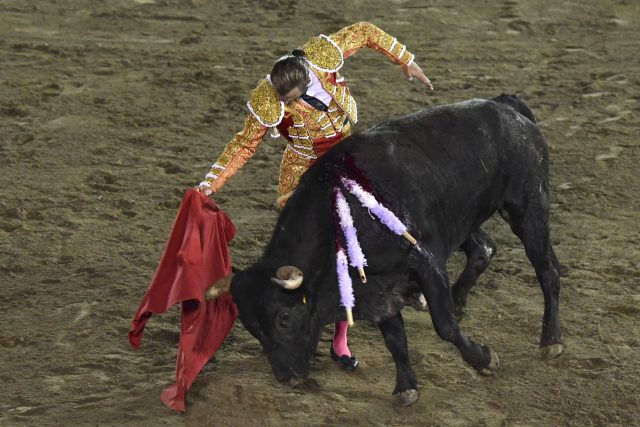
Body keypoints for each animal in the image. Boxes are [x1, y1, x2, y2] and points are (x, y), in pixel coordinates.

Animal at [222, 95, 564, 406]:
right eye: (252, 327)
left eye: (283, 317)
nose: (286, 377)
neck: (342, 214)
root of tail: (507, 107)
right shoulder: (376, 286)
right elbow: (395, 339)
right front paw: (405, 386)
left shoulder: (424, 261)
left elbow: (445, 327)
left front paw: (483, 359)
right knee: (486, 249)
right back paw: (460, 299)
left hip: (527, 209)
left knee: (547, 272)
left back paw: (551, 340)